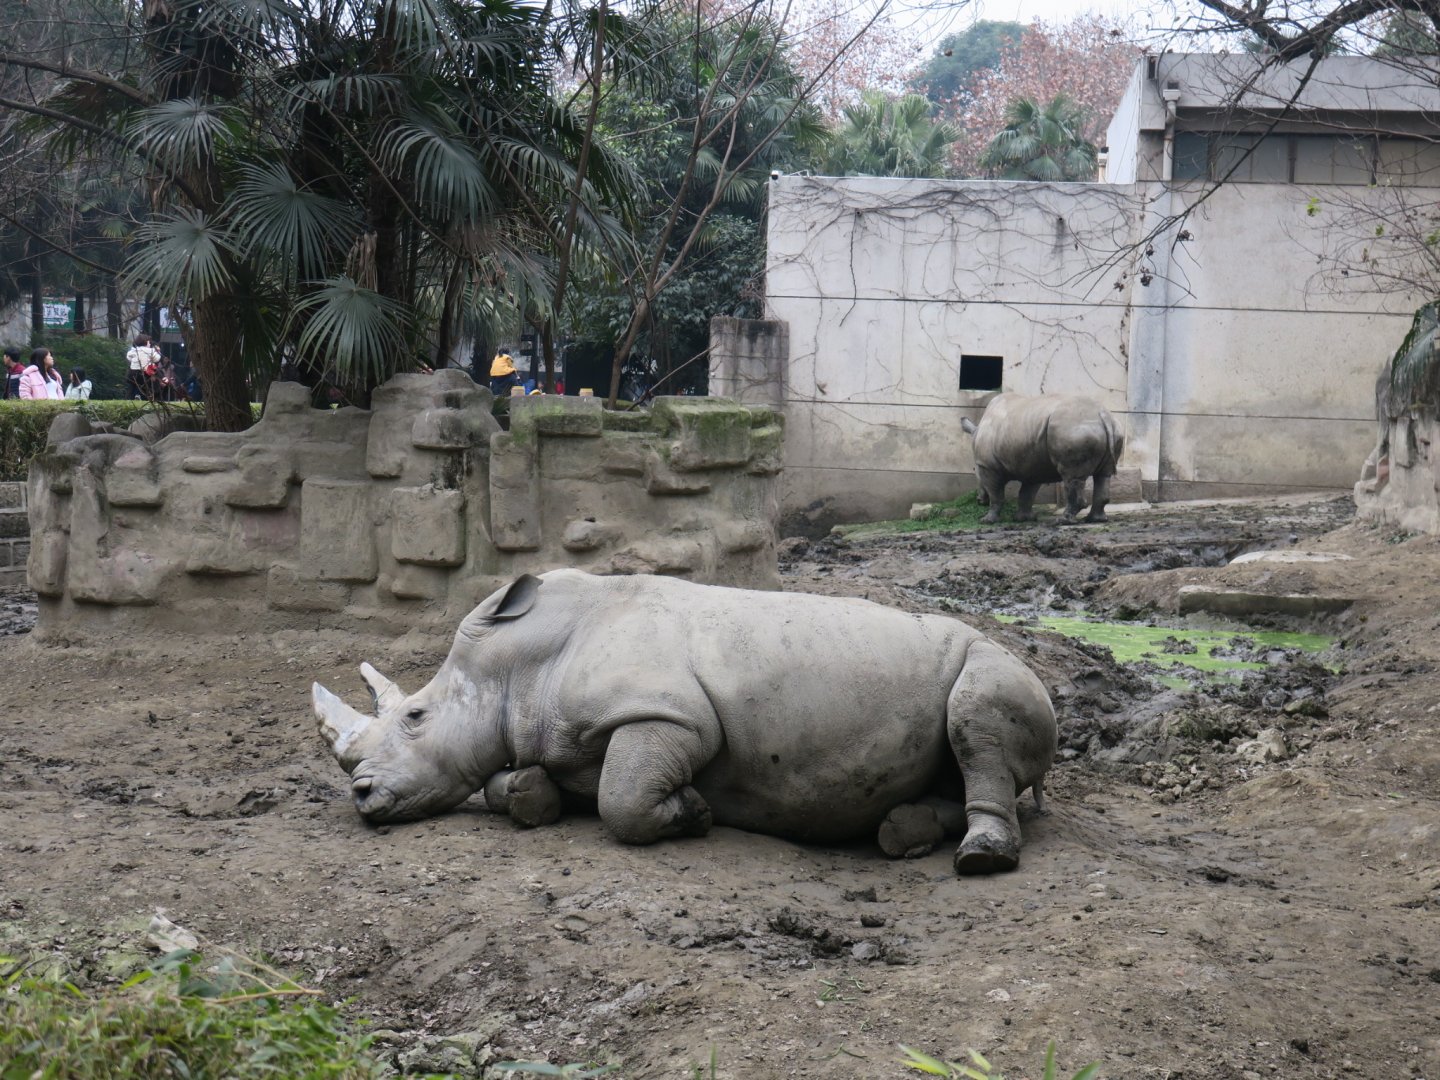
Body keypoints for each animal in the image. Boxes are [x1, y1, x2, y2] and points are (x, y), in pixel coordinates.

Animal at [313, 570, 1057, 874]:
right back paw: (904, 832)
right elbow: (510, 782)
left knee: (976, 723)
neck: (519, 666)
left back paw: (980, 860)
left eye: (416, 716)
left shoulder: (671, 715)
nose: (361, 796)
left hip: (996, 661)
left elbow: (621, 800)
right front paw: (530, 798)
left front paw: (694, 811)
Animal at [960, 393, 1124, 525]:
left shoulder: (987, 466)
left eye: (974, 470)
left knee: (1071, 476)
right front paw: (1023, 519)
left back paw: (1063, 521)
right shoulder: (1033, 465)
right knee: (1103, 475)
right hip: (1112, 430)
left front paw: (987, 520)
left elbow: (996, 495)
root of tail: (1103, 415)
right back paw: (1095, 520)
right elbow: (1027, 493)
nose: (979, 501)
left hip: (1072, 430)